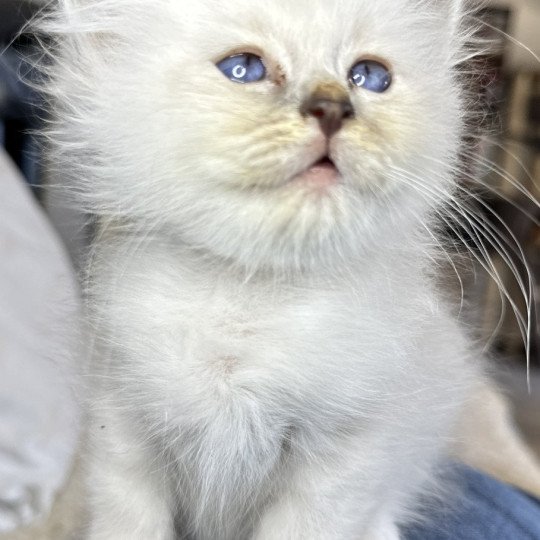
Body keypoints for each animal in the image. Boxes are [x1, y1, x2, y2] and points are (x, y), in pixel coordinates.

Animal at [43, 0, 486, 536]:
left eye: (368, 77)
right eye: (244, 69)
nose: (333, 108)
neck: (249, 300)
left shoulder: (347, 457)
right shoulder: (122, 429)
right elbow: (129, 522)